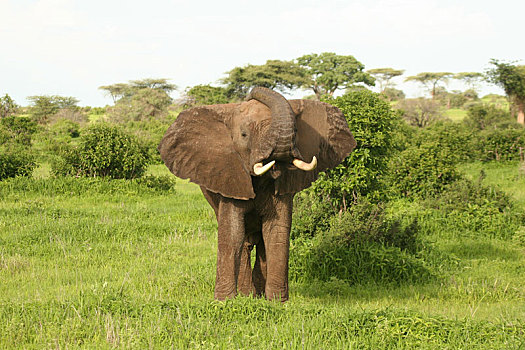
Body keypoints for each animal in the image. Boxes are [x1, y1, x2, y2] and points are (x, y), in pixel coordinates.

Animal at [159, 87, 356, 300]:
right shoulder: (230, 175)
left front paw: (277, 301)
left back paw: (256, 295)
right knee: (245, 240)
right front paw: (224, 301)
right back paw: (247, 295)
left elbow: (277, 230)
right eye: (244, 135)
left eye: (296, 132)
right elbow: (233, 232)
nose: (251, 91)